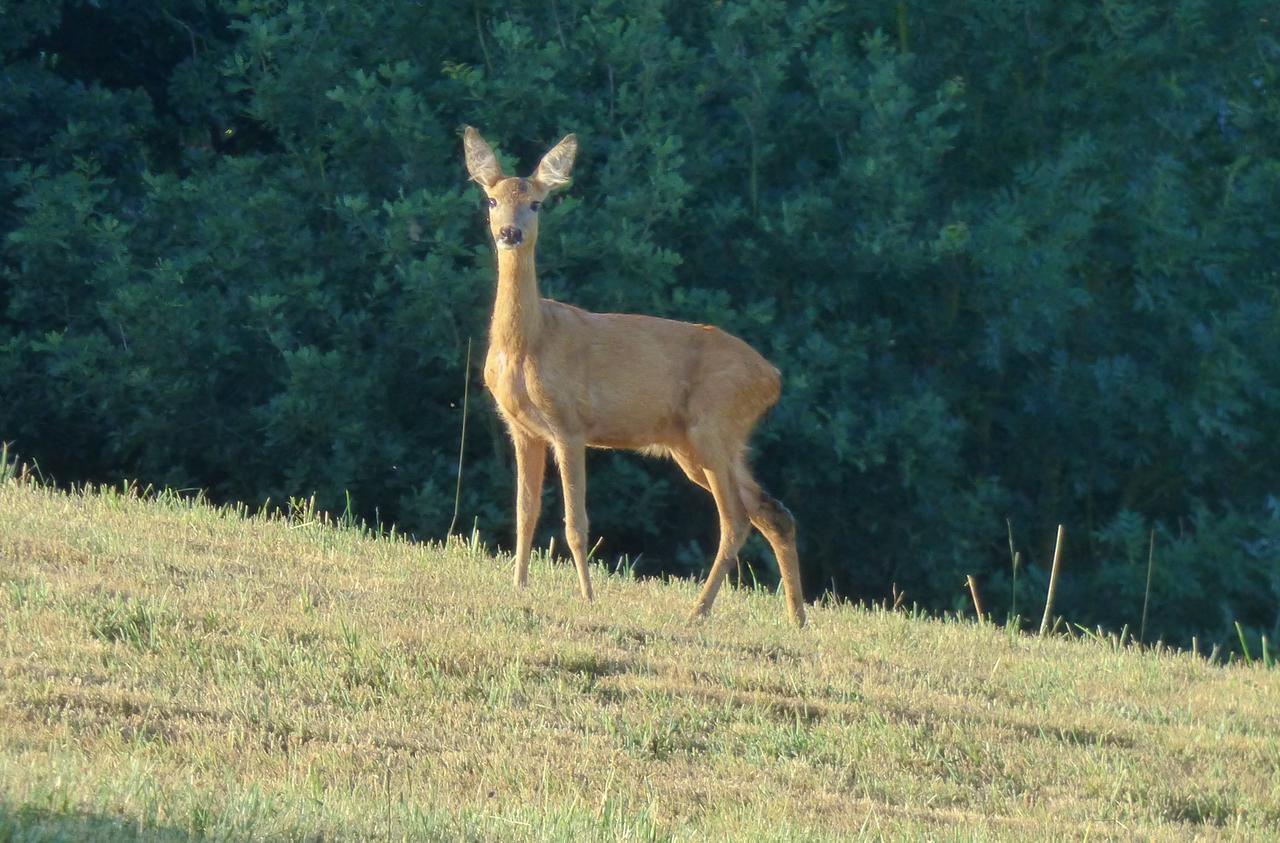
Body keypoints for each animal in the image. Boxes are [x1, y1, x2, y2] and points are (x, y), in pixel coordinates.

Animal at [460, 125, 803, 626]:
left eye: (537, 203)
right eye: (491, 199)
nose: (510, 232)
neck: (528, 344)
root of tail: (773, 378)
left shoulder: (569, 424)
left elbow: (575, 522)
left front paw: (587, 597)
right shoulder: (522, 428)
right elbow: (525, 511)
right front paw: (518, 587)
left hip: (713, 425)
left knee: (737, 517)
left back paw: (697, 612)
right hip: (697, 444)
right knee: (771, 510)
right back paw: (797, 618)